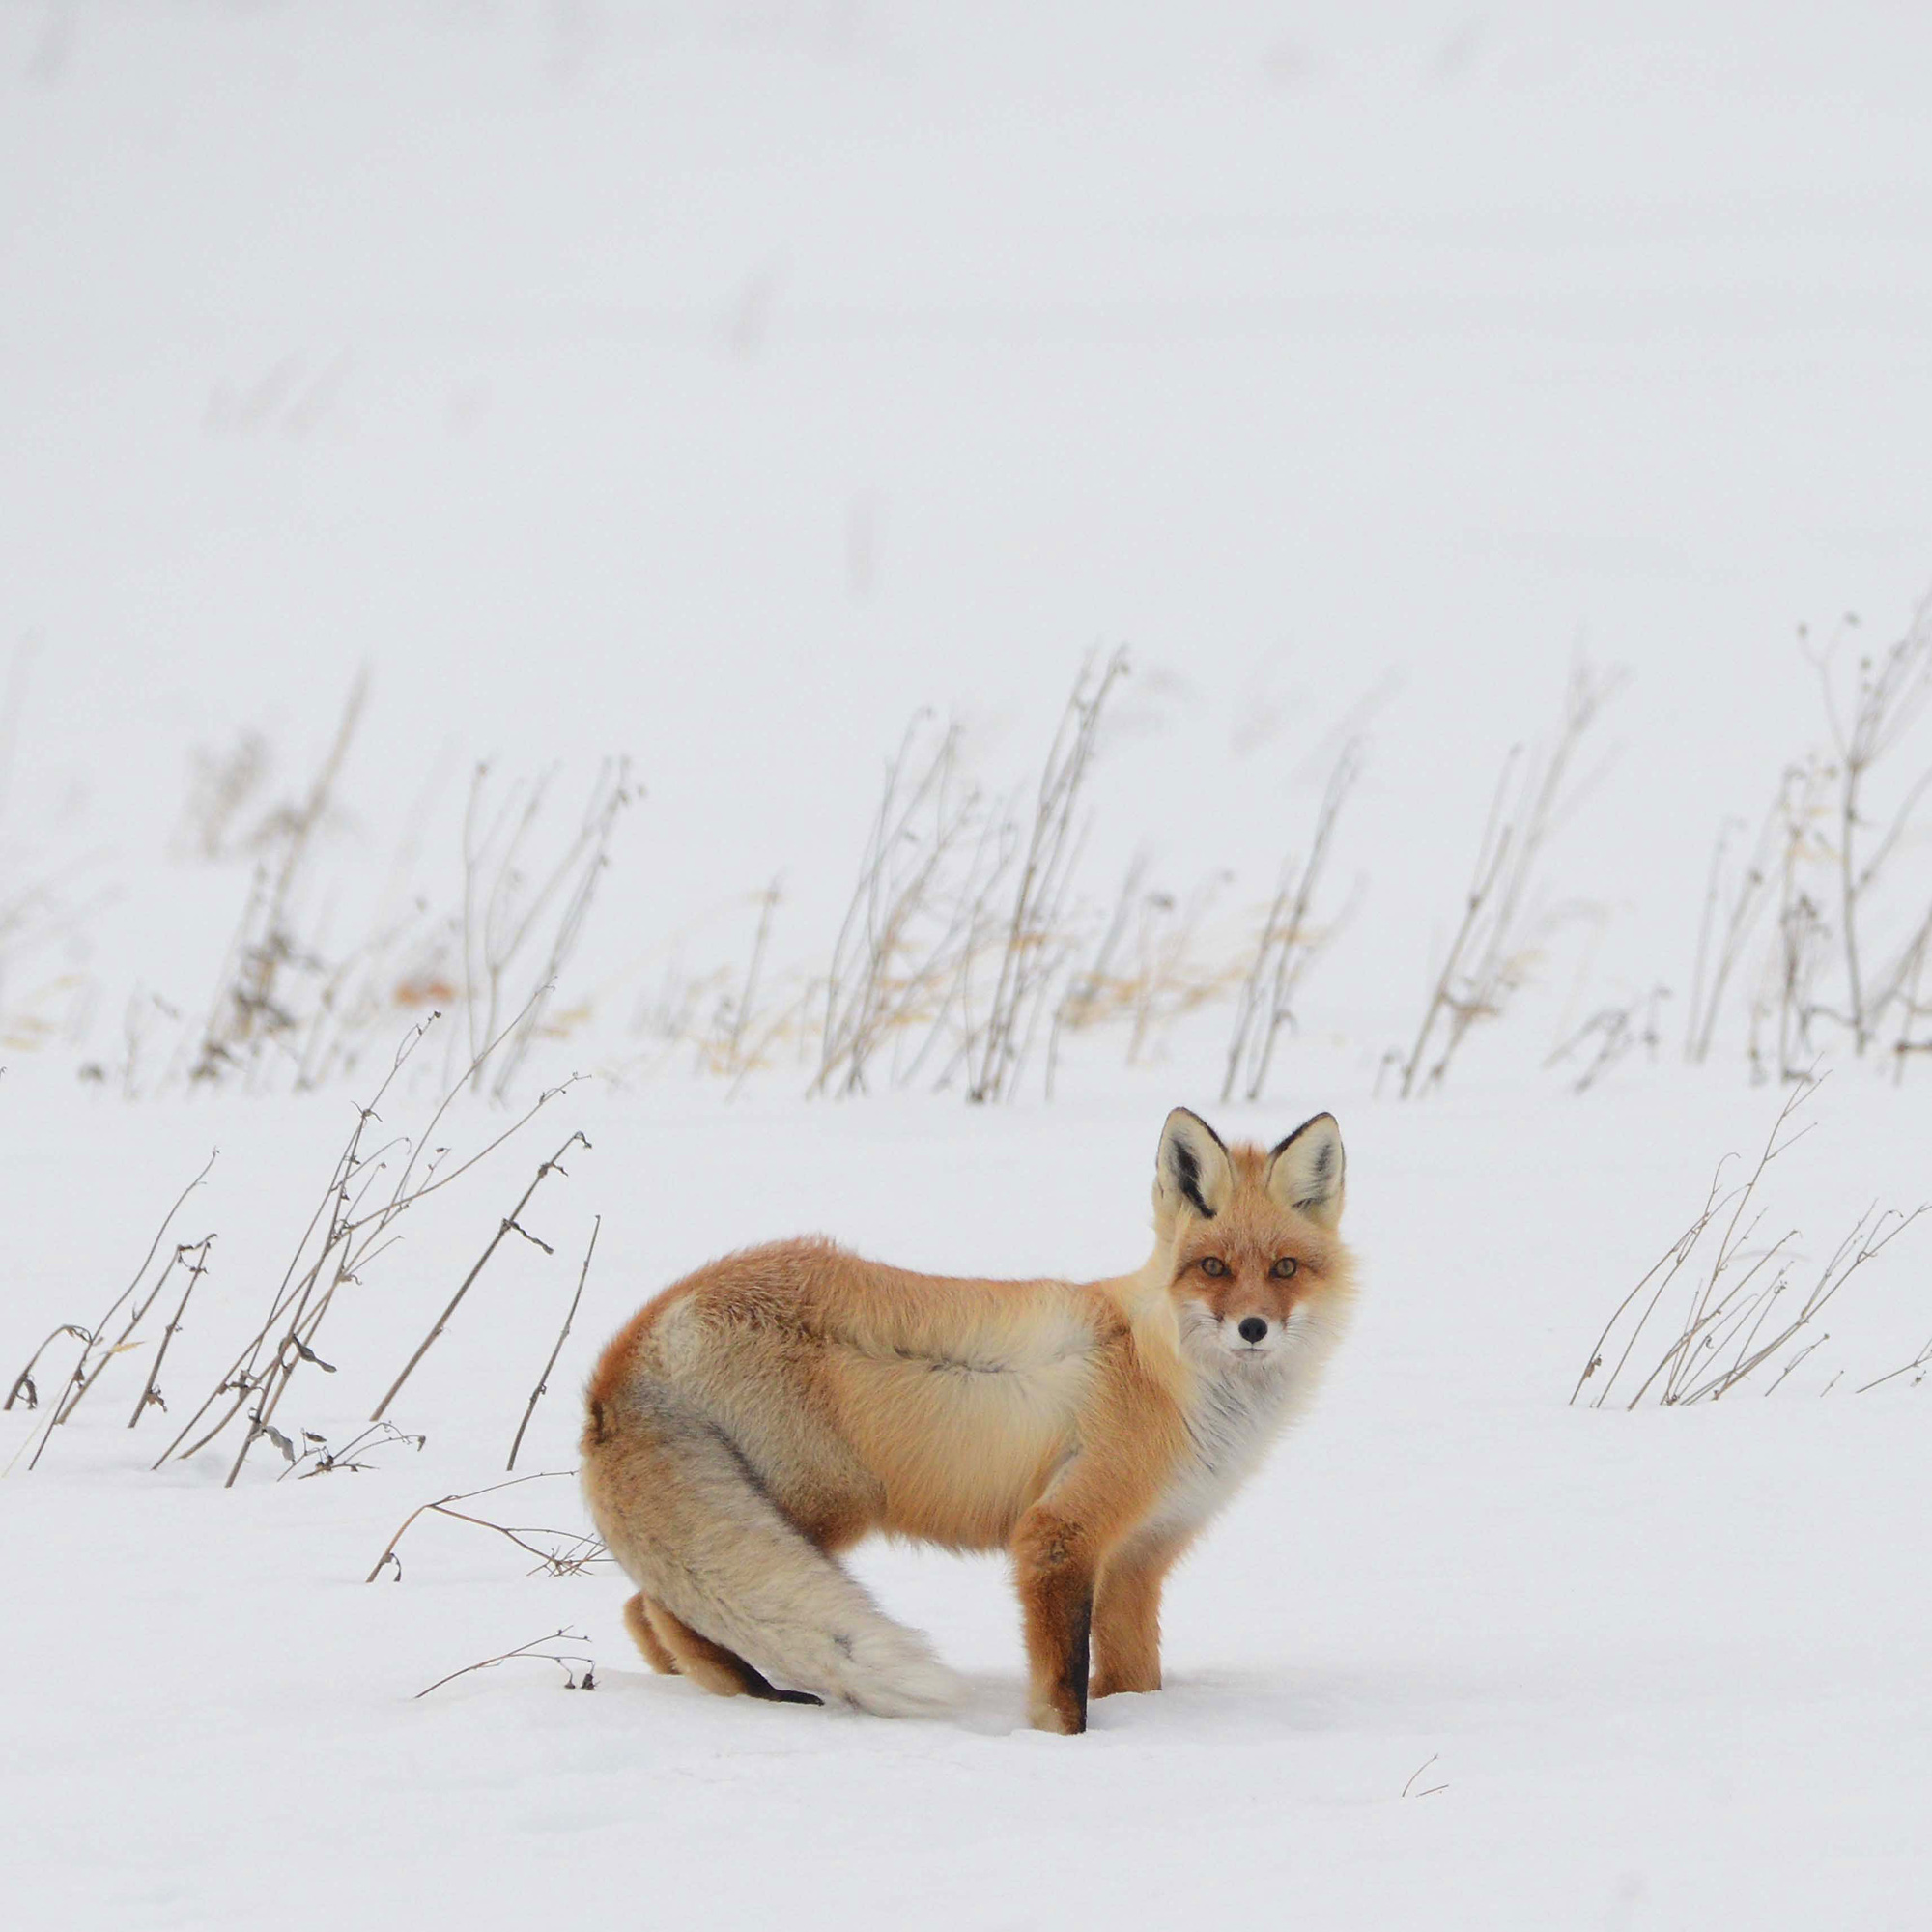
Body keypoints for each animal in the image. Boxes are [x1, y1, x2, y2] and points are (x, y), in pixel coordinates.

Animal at [580, 1105, 1352, 1739]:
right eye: (1213, 1267)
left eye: (1285, 1269)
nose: (1252, 1329)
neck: (1164, 1371)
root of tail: (646, 1325)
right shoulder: (1059, 1534)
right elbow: (1065, 1686)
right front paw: (1063, 1745)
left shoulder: (1142, 1551)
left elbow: (1135, 1674)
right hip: (825, 1505)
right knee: (659, 1609)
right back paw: (750, 1694)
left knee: (645, 1608)